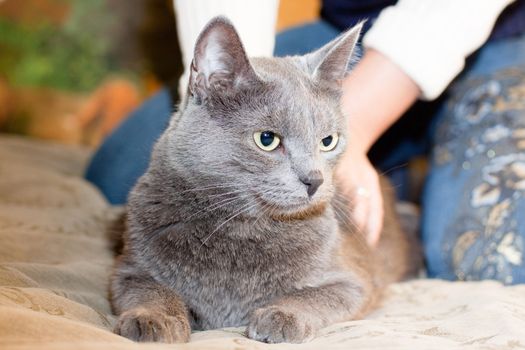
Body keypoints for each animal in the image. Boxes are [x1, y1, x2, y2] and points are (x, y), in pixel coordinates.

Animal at [111, 17, 422, 344]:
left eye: (328, 141)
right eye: (267, 139)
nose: (314, 180)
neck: (240, 228)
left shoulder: (353, 281)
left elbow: (315, 296)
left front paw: (281, 316)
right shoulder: (130, 269)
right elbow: (152, 290)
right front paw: (151, 319)